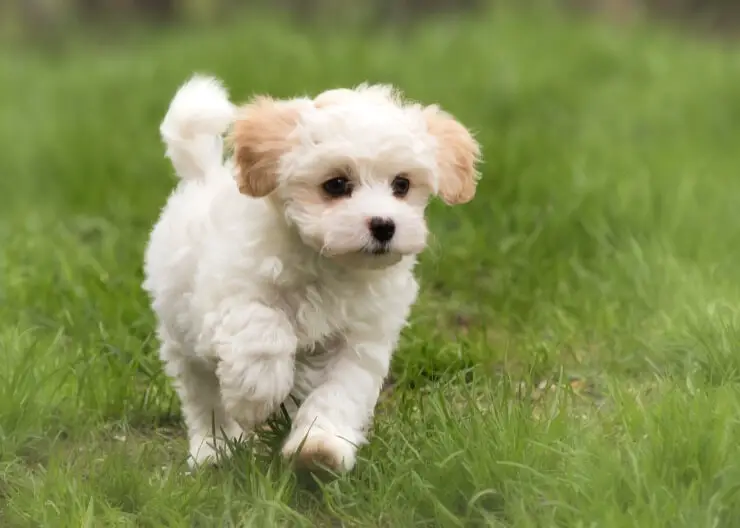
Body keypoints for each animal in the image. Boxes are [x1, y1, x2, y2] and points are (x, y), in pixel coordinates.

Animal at [142, 73, 482, 470]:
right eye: (336, 184)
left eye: (402, 184)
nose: (384, 225)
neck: (329, 264)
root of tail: (203, 175)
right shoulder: (228, 299)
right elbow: (263, 331)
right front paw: (256, 395)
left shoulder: (360, 340)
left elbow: (339, 393)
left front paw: (320, 448)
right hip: (181, 333)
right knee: (203, 396)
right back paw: (215, 449)